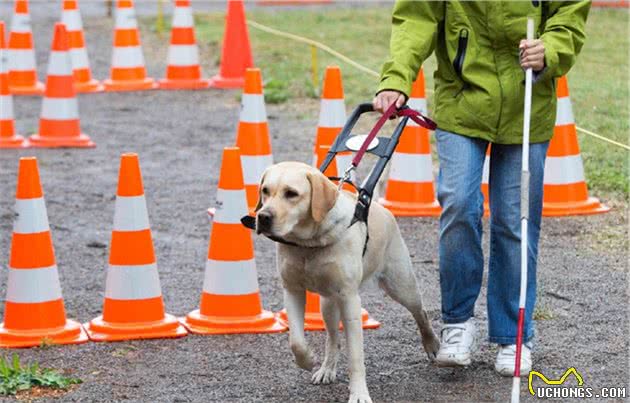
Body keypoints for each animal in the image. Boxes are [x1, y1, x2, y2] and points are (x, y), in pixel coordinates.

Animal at [254, 162, 442, 403]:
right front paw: (307, 360)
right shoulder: (292, 290)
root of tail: (381, 209)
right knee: (333, 338)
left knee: (421, 313)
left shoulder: (350, 300)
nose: (263, 217)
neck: (309, 243)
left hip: (402, 286)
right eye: (265, 191)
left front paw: (359, 393)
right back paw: (327, 368)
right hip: (328, 303)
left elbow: (355, 356)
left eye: (291, 194)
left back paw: (432, 344)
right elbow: (296, 341)